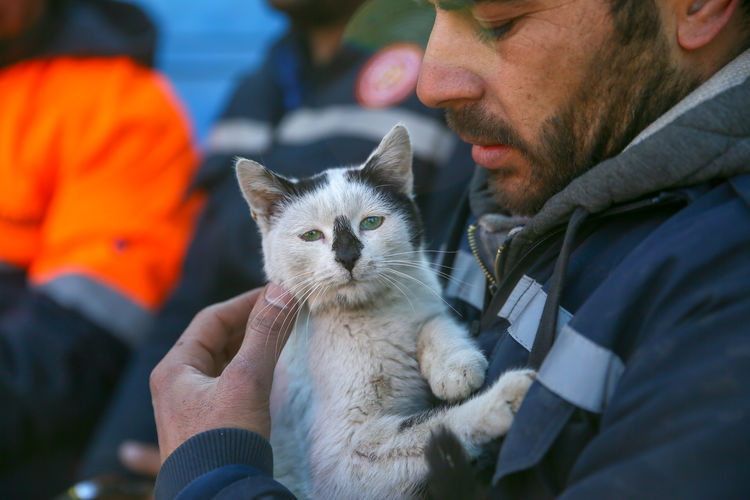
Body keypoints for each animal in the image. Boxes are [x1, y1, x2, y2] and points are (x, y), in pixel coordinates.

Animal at [235, 122, 536, 500]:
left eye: (371, 222)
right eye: (311, 235)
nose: (348, 256)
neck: (368, 317)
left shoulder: (422, 298)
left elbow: (434, 322)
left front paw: (455, 366)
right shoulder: (345, 465)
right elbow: (430, 427)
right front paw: (504, 399)